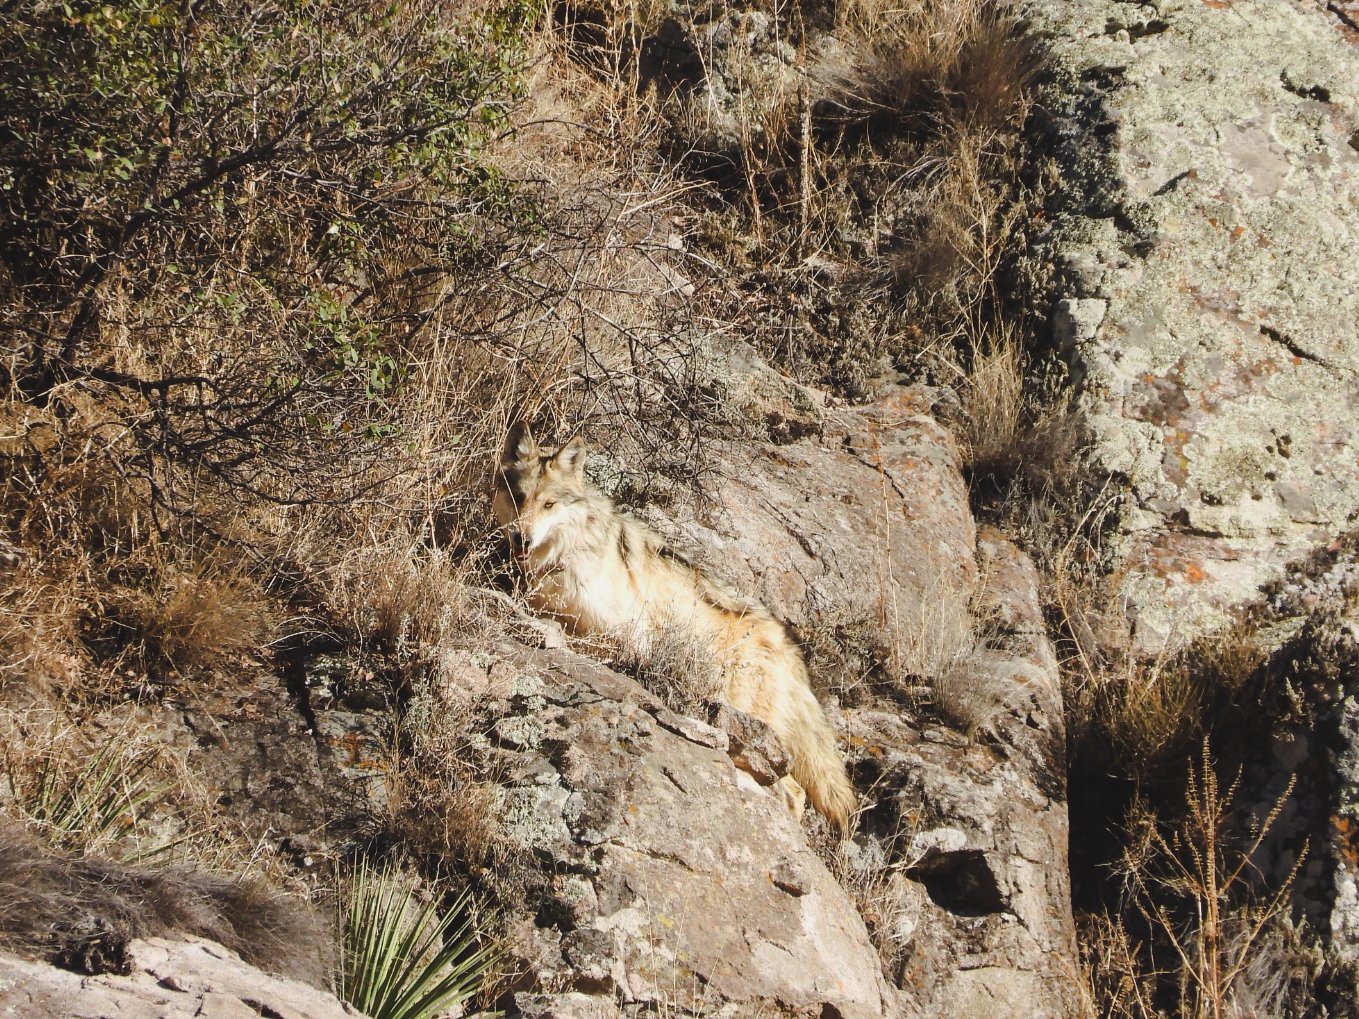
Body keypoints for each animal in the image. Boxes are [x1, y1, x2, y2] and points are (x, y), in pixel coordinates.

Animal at [493, 425, 856, 832]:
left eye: (549, 505)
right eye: (519, 498)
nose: (521, 538)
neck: (564, 556)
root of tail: (791, 648)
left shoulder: (628, 640)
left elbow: (569, 632)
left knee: (792, 791)